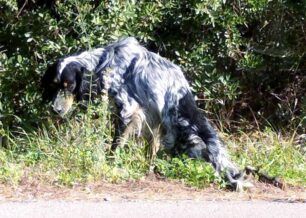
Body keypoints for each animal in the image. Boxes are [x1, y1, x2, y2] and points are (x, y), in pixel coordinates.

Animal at [40, 36, 251, 190]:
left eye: (69, 85)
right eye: (54, 85)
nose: (55, 109)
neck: (104, 63)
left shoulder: (128, 111)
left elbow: (115, 146)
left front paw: (111, 164)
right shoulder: (150, 117)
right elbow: (150, 149)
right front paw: (147, 169)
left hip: (181, 133)